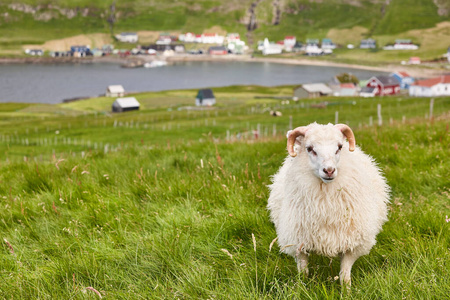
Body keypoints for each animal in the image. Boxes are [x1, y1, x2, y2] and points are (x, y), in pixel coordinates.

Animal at [268, 122, 390, 286]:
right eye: (309, 148)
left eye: (339, 147)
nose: (329, 170)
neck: (325, 202)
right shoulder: (297, 242)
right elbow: (303, 272)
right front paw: (303, 287)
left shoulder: (352, 243)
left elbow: (345, 275)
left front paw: (347, 290)